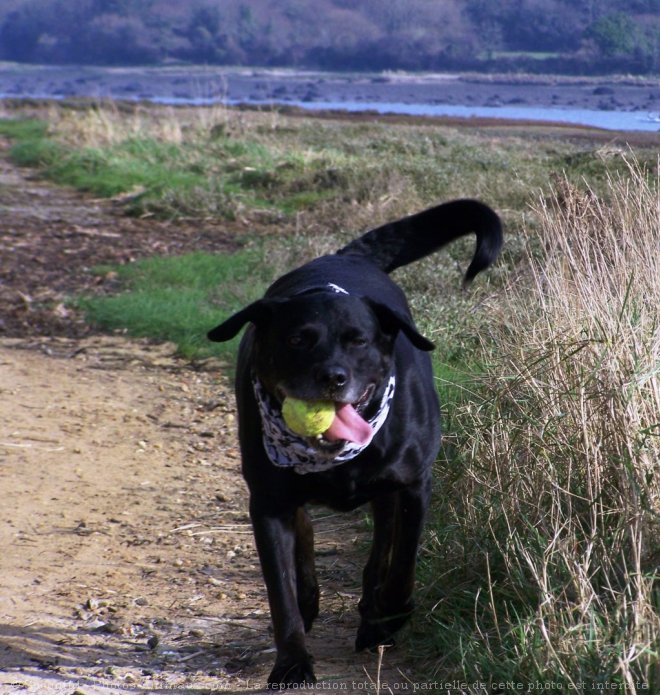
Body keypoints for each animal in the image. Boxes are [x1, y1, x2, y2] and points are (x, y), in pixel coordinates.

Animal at [209, 198, 502, 688]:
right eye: (297, 339)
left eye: (358, 340)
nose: (333, 377)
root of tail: (345, 256)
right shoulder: (267, 503)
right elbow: (280, 592)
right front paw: (292, 662)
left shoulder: (414, 486)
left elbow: (402, 563)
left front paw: (389, 618)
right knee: (306, 534)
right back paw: (314, 599)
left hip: (386, 494)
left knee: (381, 547)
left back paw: (372, 615)